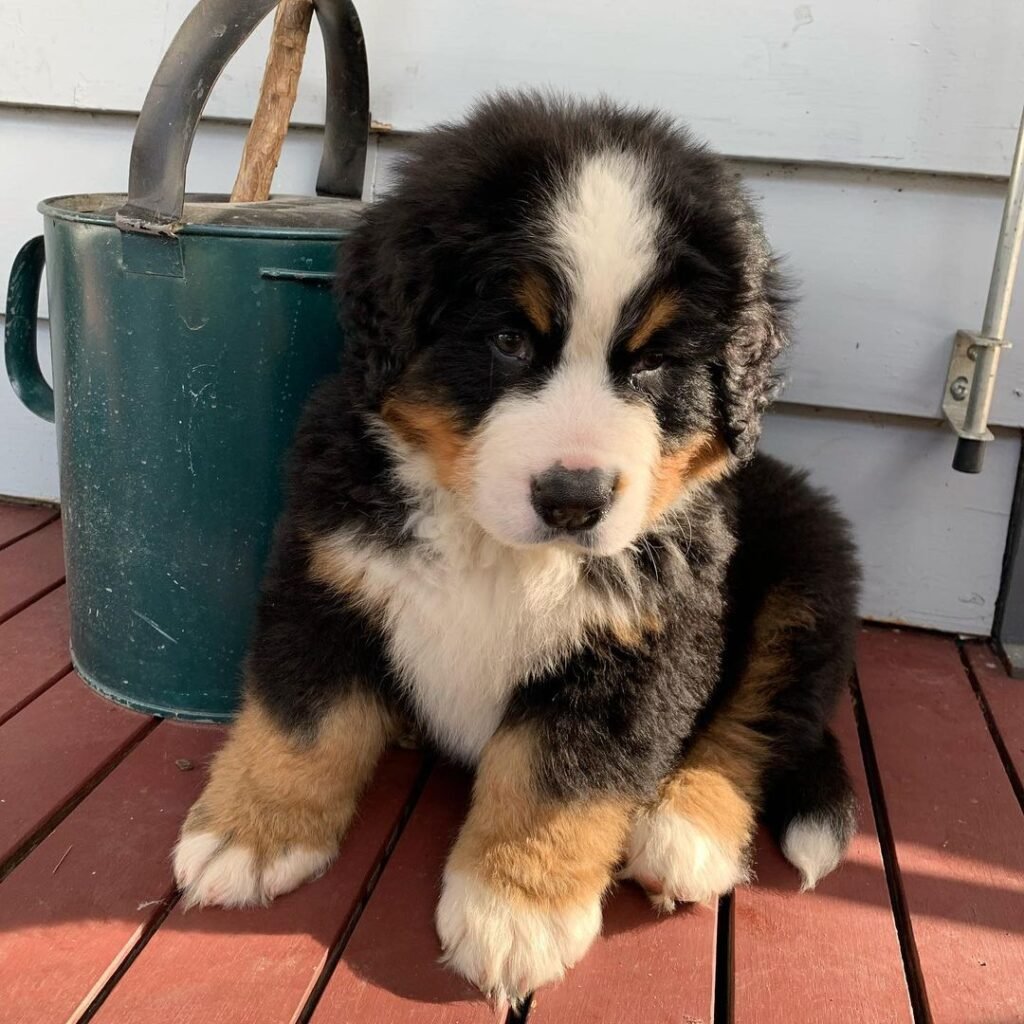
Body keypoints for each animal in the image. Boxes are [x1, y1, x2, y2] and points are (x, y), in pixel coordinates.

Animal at [172, 92, 860, 1003]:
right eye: (507, 341)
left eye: (653, 366)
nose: (572, 499)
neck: (496, 548)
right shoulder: (328, 572)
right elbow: (302, 720)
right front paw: (252, 834)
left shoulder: (643, 642)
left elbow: (554, 780)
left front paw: (514, 911)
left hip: (803, 572)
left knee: (759, 719)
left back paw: (685, 826)